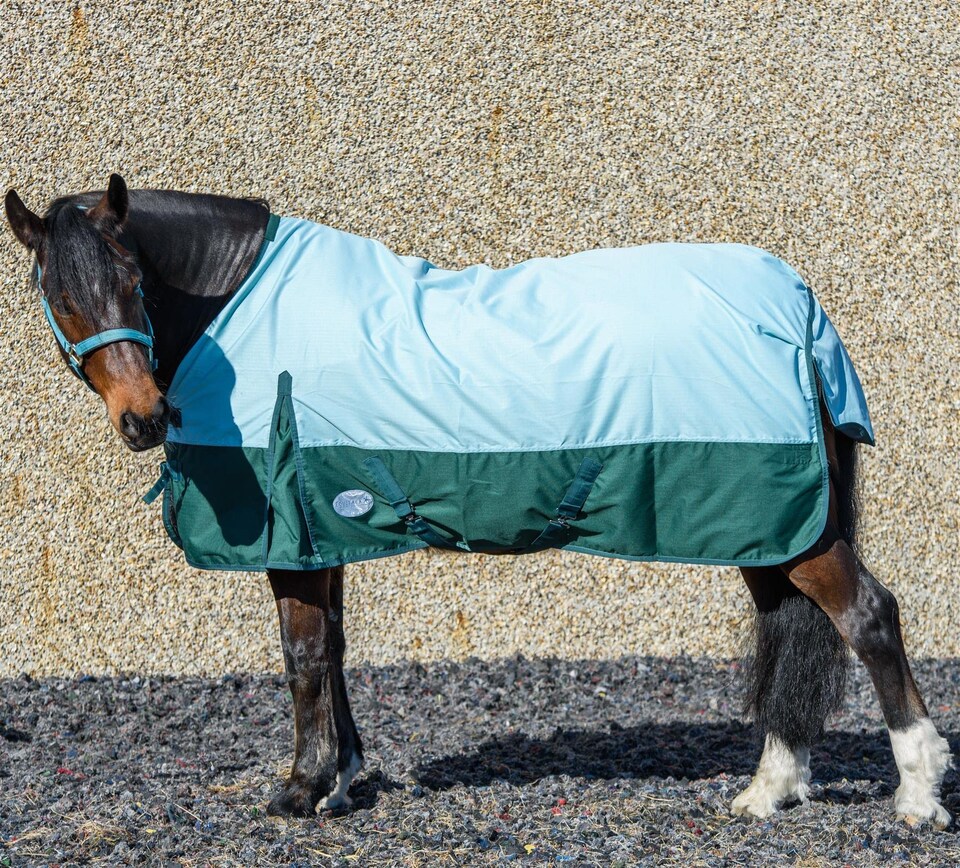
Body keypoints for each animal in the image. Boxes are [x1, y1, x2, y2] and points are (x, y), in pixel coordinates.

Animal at [5, 174, 951, 826]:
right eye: (58, 291)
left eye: (133, 279)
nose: (143, 418)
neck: (240, 305)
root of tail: (799, 308)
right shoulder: (323, 529)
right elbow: (335, 650)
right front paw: (343, 780)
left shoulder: (292, 536)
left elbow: (303, 655)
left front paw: (301, 790)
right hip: (762, 526)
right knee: (792, 628)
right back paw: (768, 789)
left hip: (790, 525)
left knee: (869, 616)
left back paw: (916, 795)